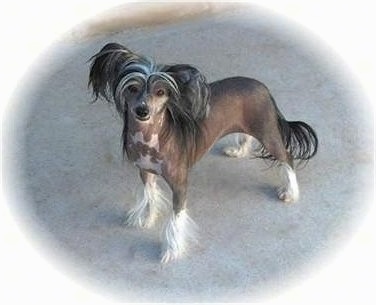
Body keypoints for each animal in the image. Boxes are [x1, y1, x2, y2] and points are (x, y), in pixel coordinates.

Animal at [87, 42, 318, 262]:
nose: (142, 110)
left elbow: (176, 218)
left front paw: (171, 250)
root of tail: (263, 88)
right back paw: (238, 150)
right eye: (132, 88)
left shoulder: (180, 185)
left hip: (268, 133)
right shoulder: (145, 172)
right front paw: (146, 218)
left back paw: (290, 192)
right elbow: (150, 196)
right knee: (248, 137)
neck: (150, 138)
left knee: (287, 158)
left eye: (161, 92)